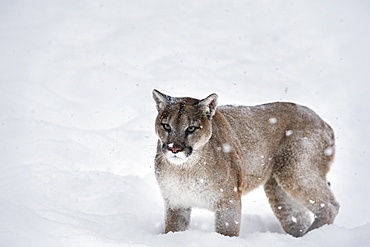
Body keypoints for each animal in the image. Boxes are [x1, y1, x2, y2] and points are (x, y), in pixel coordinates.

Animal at [152, 89, 340, 237]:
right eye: (166, 126)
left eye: (191, 128)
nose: (174, 148)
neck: (185, 169)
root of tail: (324, 123)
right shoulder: (176, 202)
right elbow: (172, 230)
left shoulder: (228, 200)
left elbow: (227, 232)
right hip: (278, 191)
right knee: (297, 218)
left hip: (295, 171)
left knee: (330, 206)